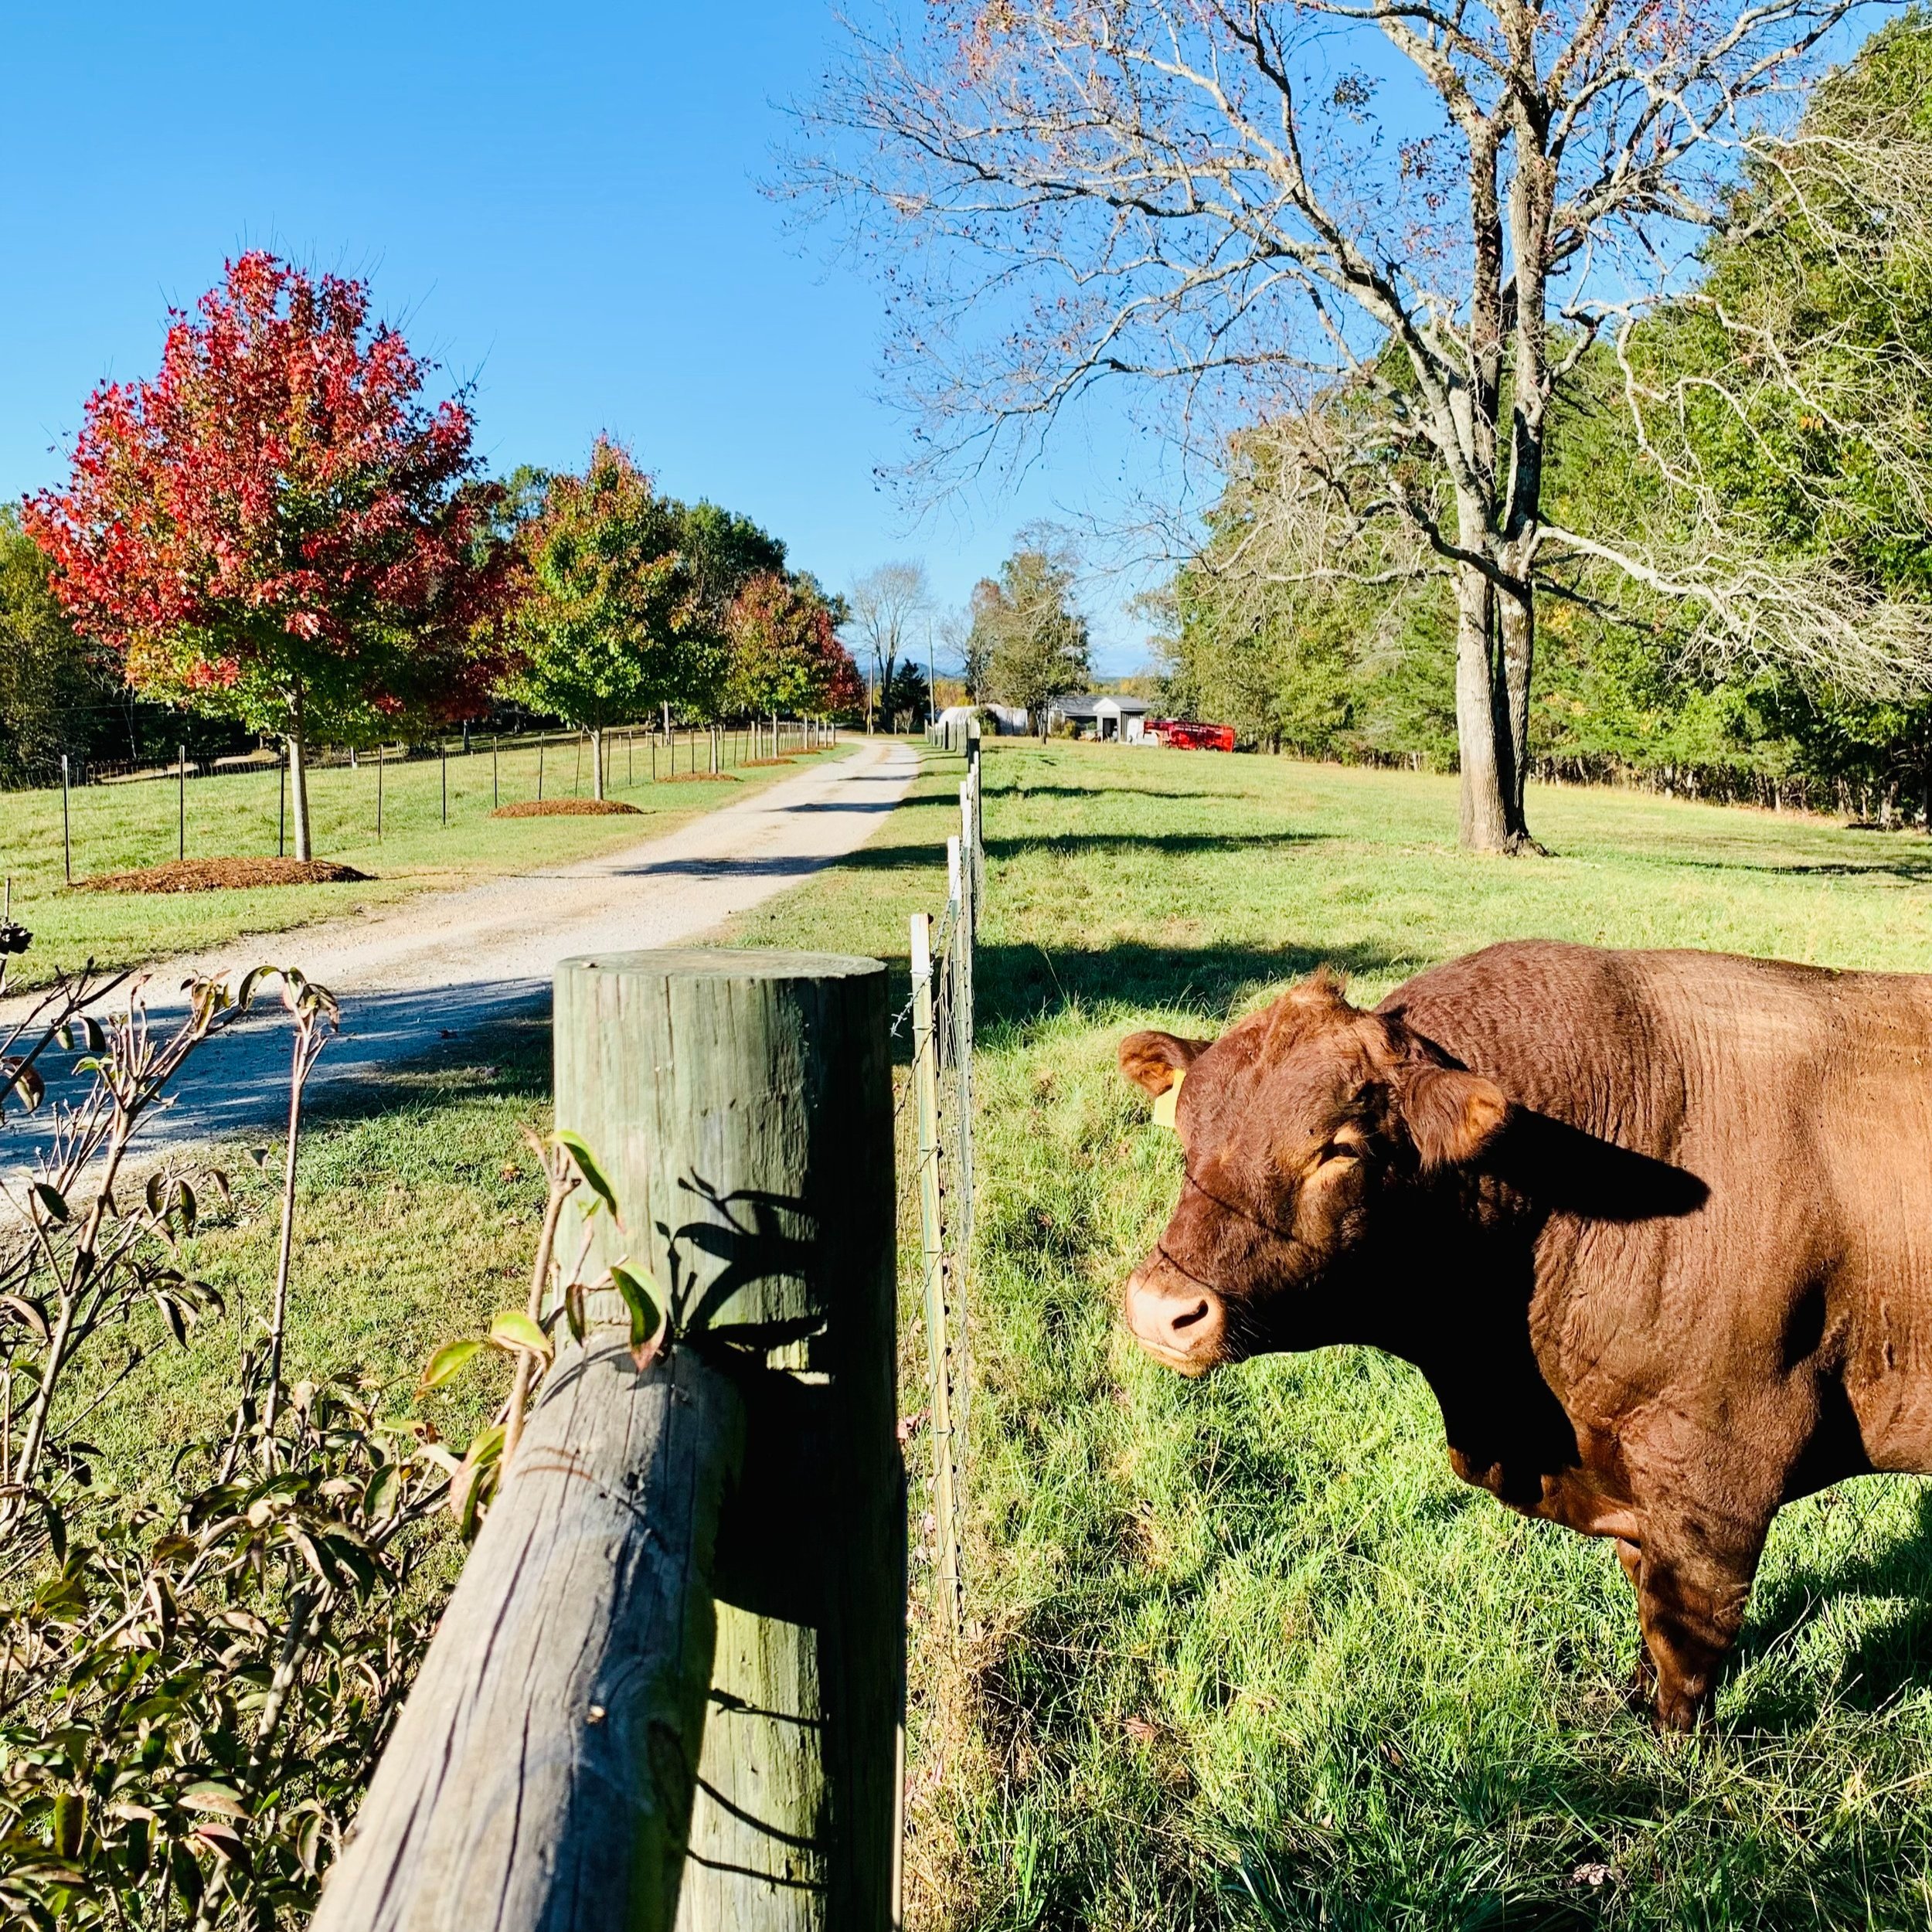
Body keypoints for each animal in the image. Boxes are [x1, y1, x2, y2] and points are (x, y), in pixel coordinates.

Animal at [1117, 939, 1932, 1729]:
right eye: (1188, 1132)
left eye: (1340, 1149)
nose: (1160, 1308)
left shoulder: (1719, 1471)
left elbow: (1683, 1640)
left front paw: (1670, 1747)